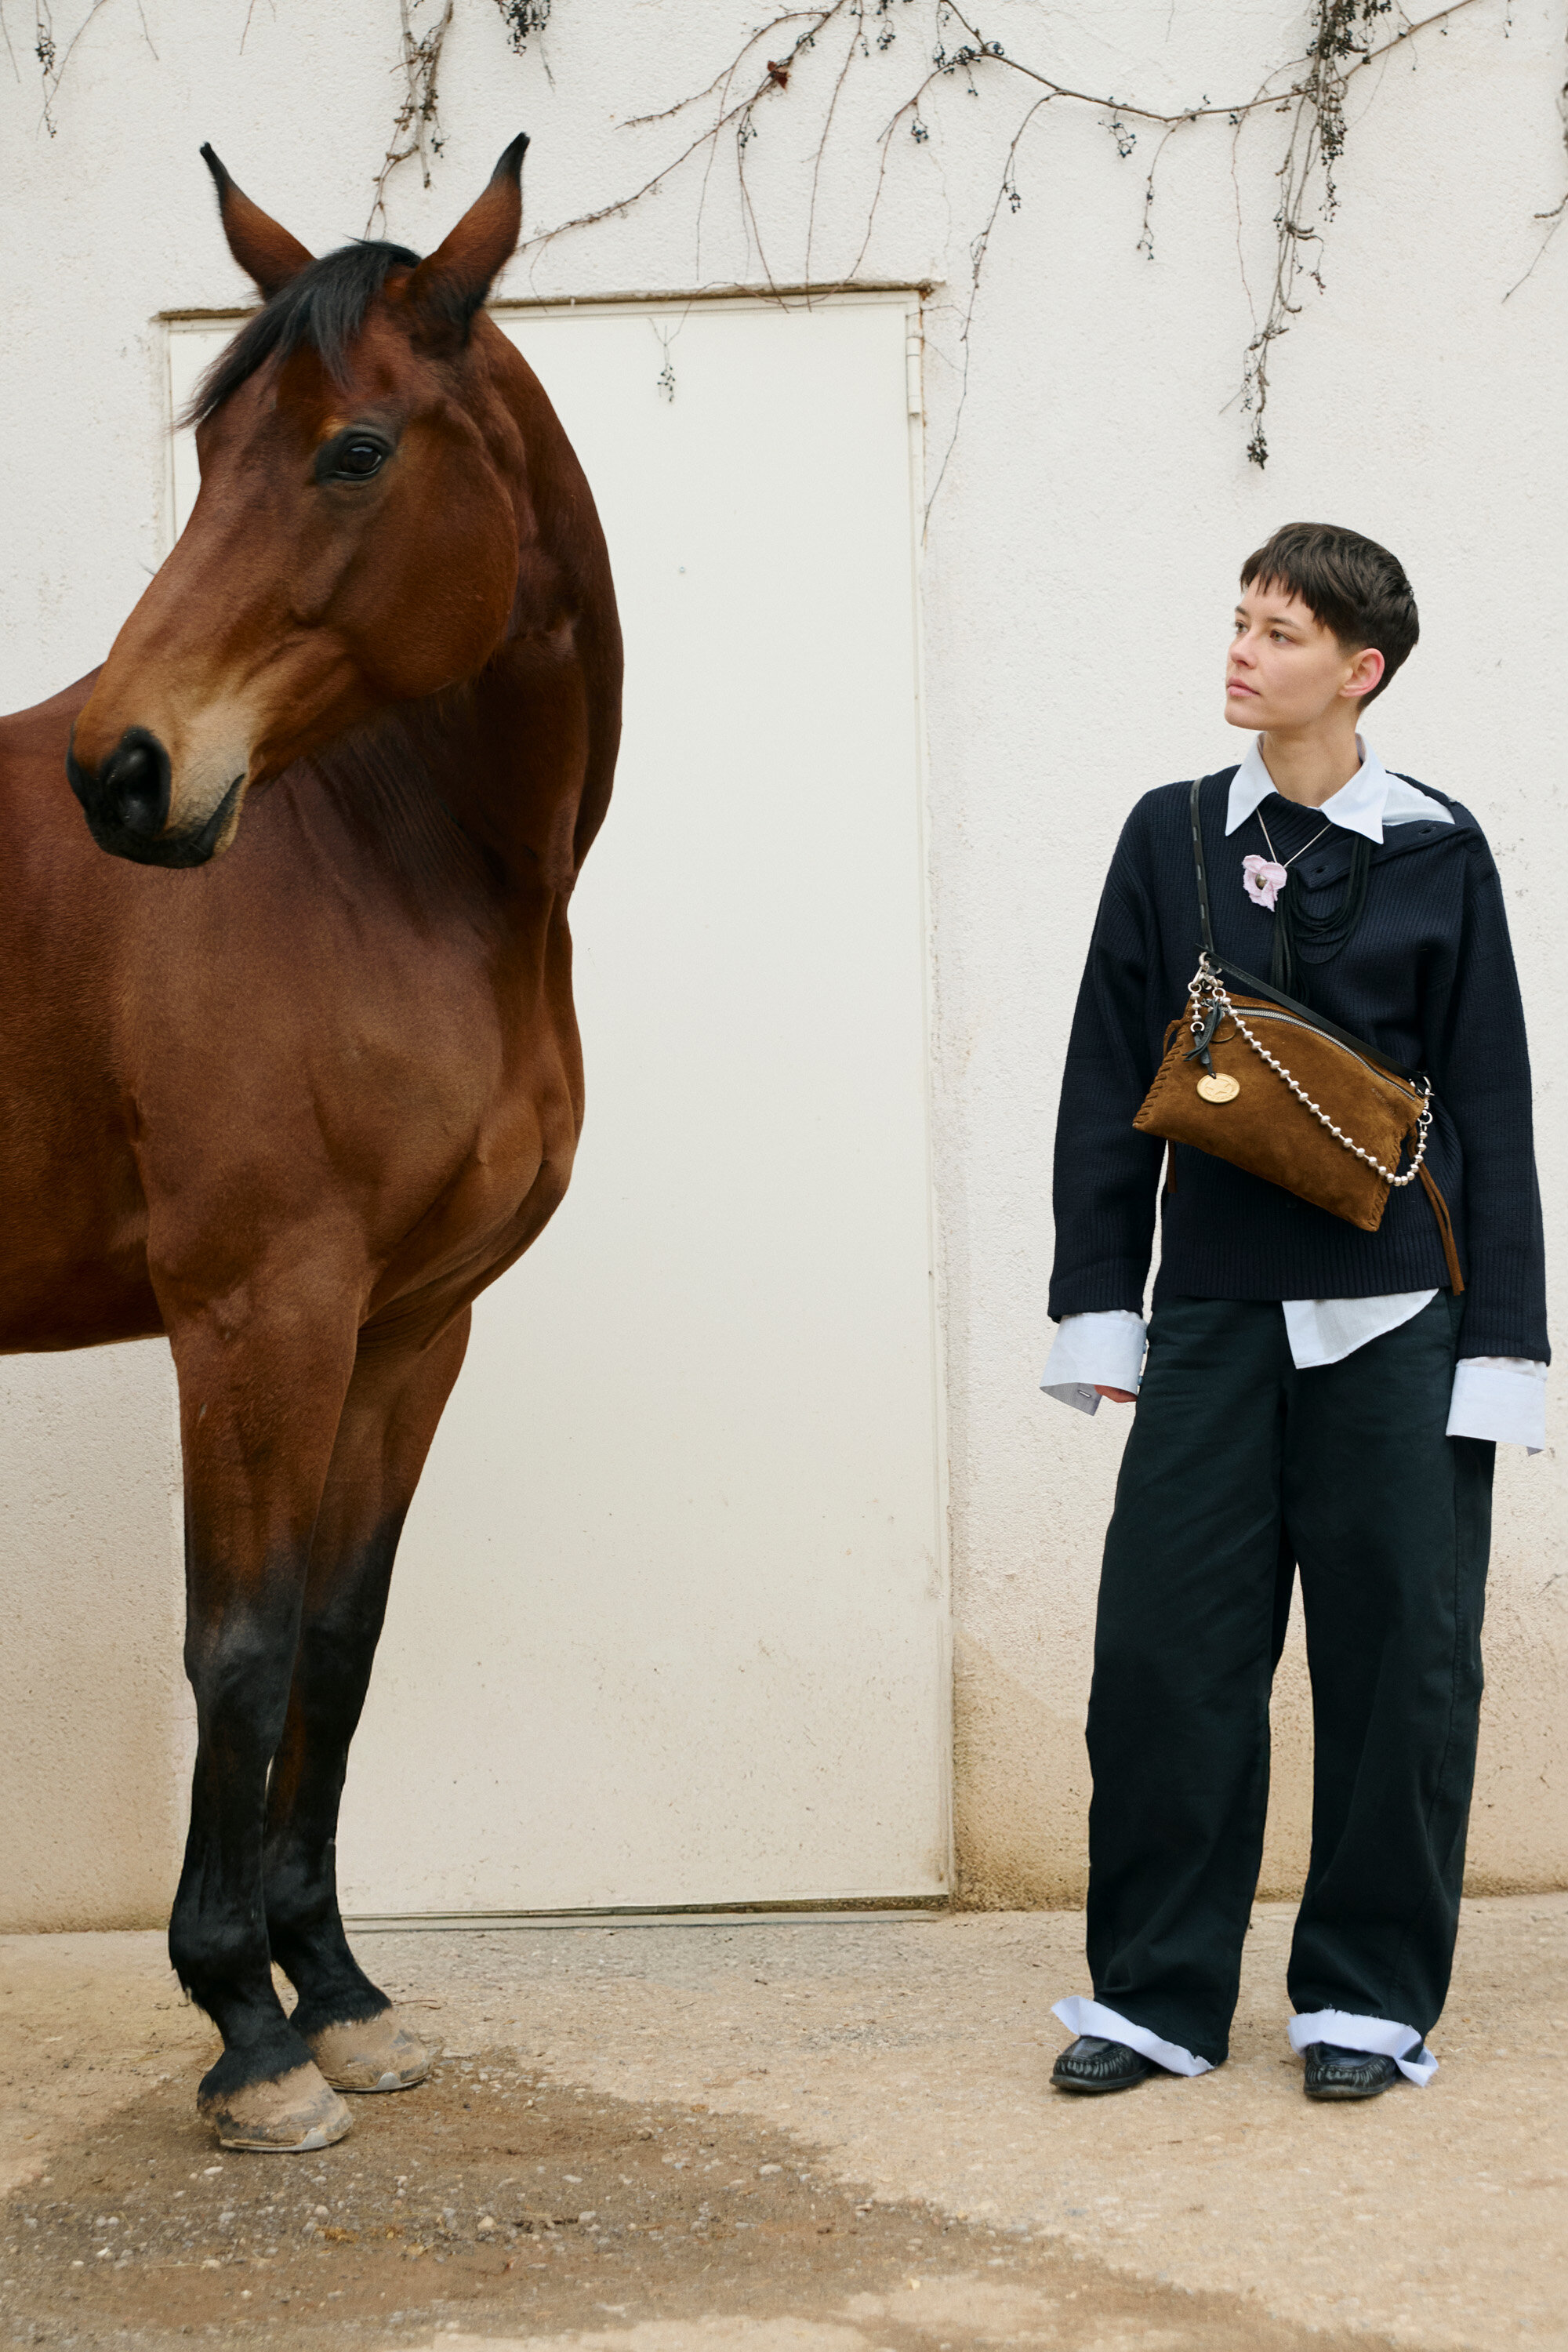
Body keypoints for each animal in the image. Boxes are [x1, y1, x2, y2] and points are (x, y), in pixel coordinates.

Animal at [0, 138, 621, 2151]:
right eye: (210, 453)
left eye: (352, 451)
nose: (123, 774)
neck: (382, 865)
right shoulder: (253, 1313)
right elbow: (241, 1644)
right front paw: (243, 2029)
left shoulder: (408, 1325)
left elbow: (337, 1652)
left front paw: (336, 1991)